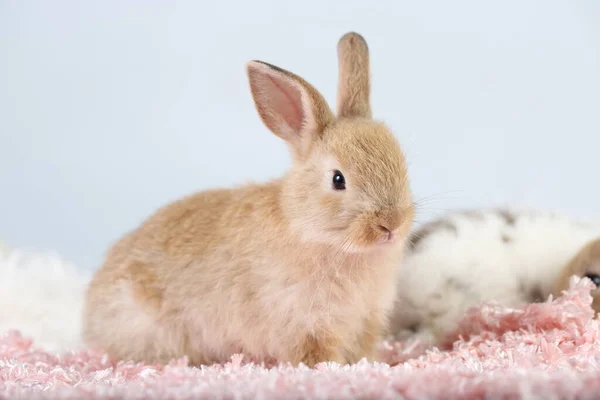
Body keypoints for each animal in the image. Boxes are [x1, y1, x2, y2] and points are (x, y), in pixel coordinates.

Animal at [82, 32, 414, 368]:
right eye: (338, 180)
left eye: (402, 165)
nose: (392, 225)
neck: (312, 231)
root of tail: (92, 316)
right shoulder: (305, 324)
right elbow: (317, 355)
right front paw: (331, 369)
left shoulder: (366, 320)